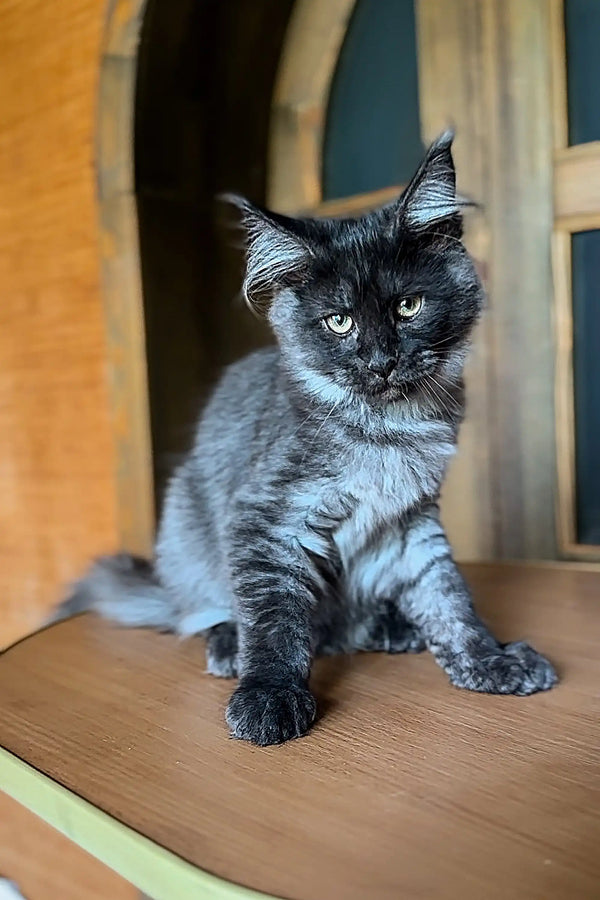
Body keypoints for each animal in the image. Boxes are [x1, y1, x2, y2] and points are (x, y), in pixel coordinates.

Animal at [57, 134, 556, 744]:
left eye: (408, 306)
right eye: (339, 322)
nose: (382, 362)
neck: (387, 432)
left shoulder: (411, 522)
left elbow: (448, 598)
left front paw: (488, 660)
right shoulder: (268, 517)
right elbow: (275, 620)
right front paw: (269, 696)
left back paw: (389, 627)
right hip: (185, 520)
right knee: (211, 613)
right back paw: (231, 644)